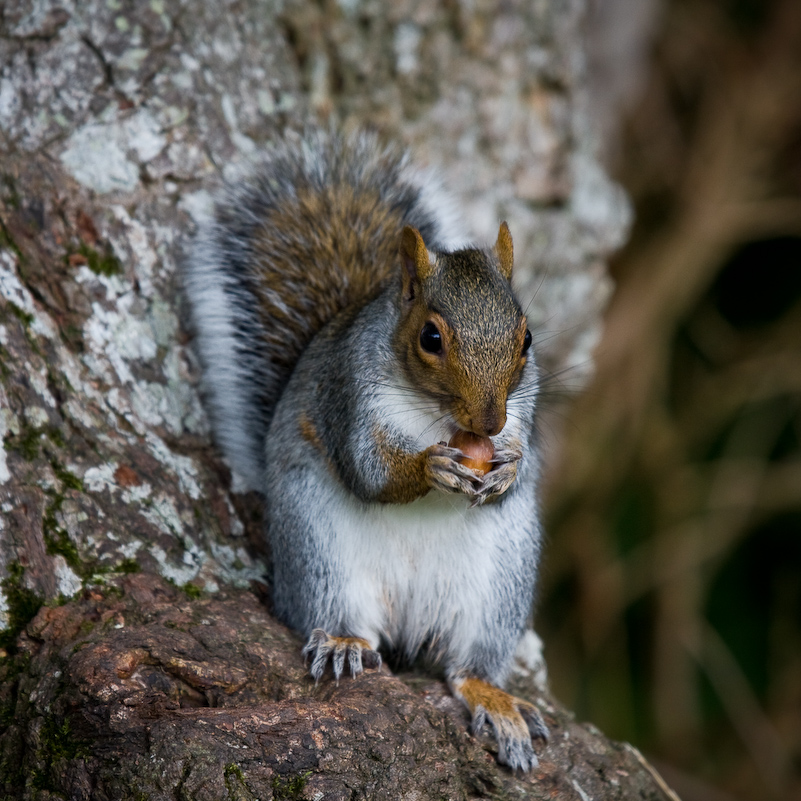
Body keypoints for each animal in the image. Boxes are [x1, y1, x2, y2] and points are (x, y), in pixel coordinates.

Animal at [187, 130, 548, 768]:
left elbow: (518, 454)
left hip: (500, 583)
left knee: (466, 666)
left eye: (526, 337)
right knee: (339, 611)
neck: (436, 415)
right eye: (430, 337)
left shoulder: (522, 408)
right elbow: (371, 471)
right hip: (319, 548)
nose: (490, 420)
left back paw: (494, 699)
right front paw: (432, 467)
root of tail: (409, 618)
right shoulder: (349, 397)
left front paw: (508, 468)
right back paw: (342, 641)